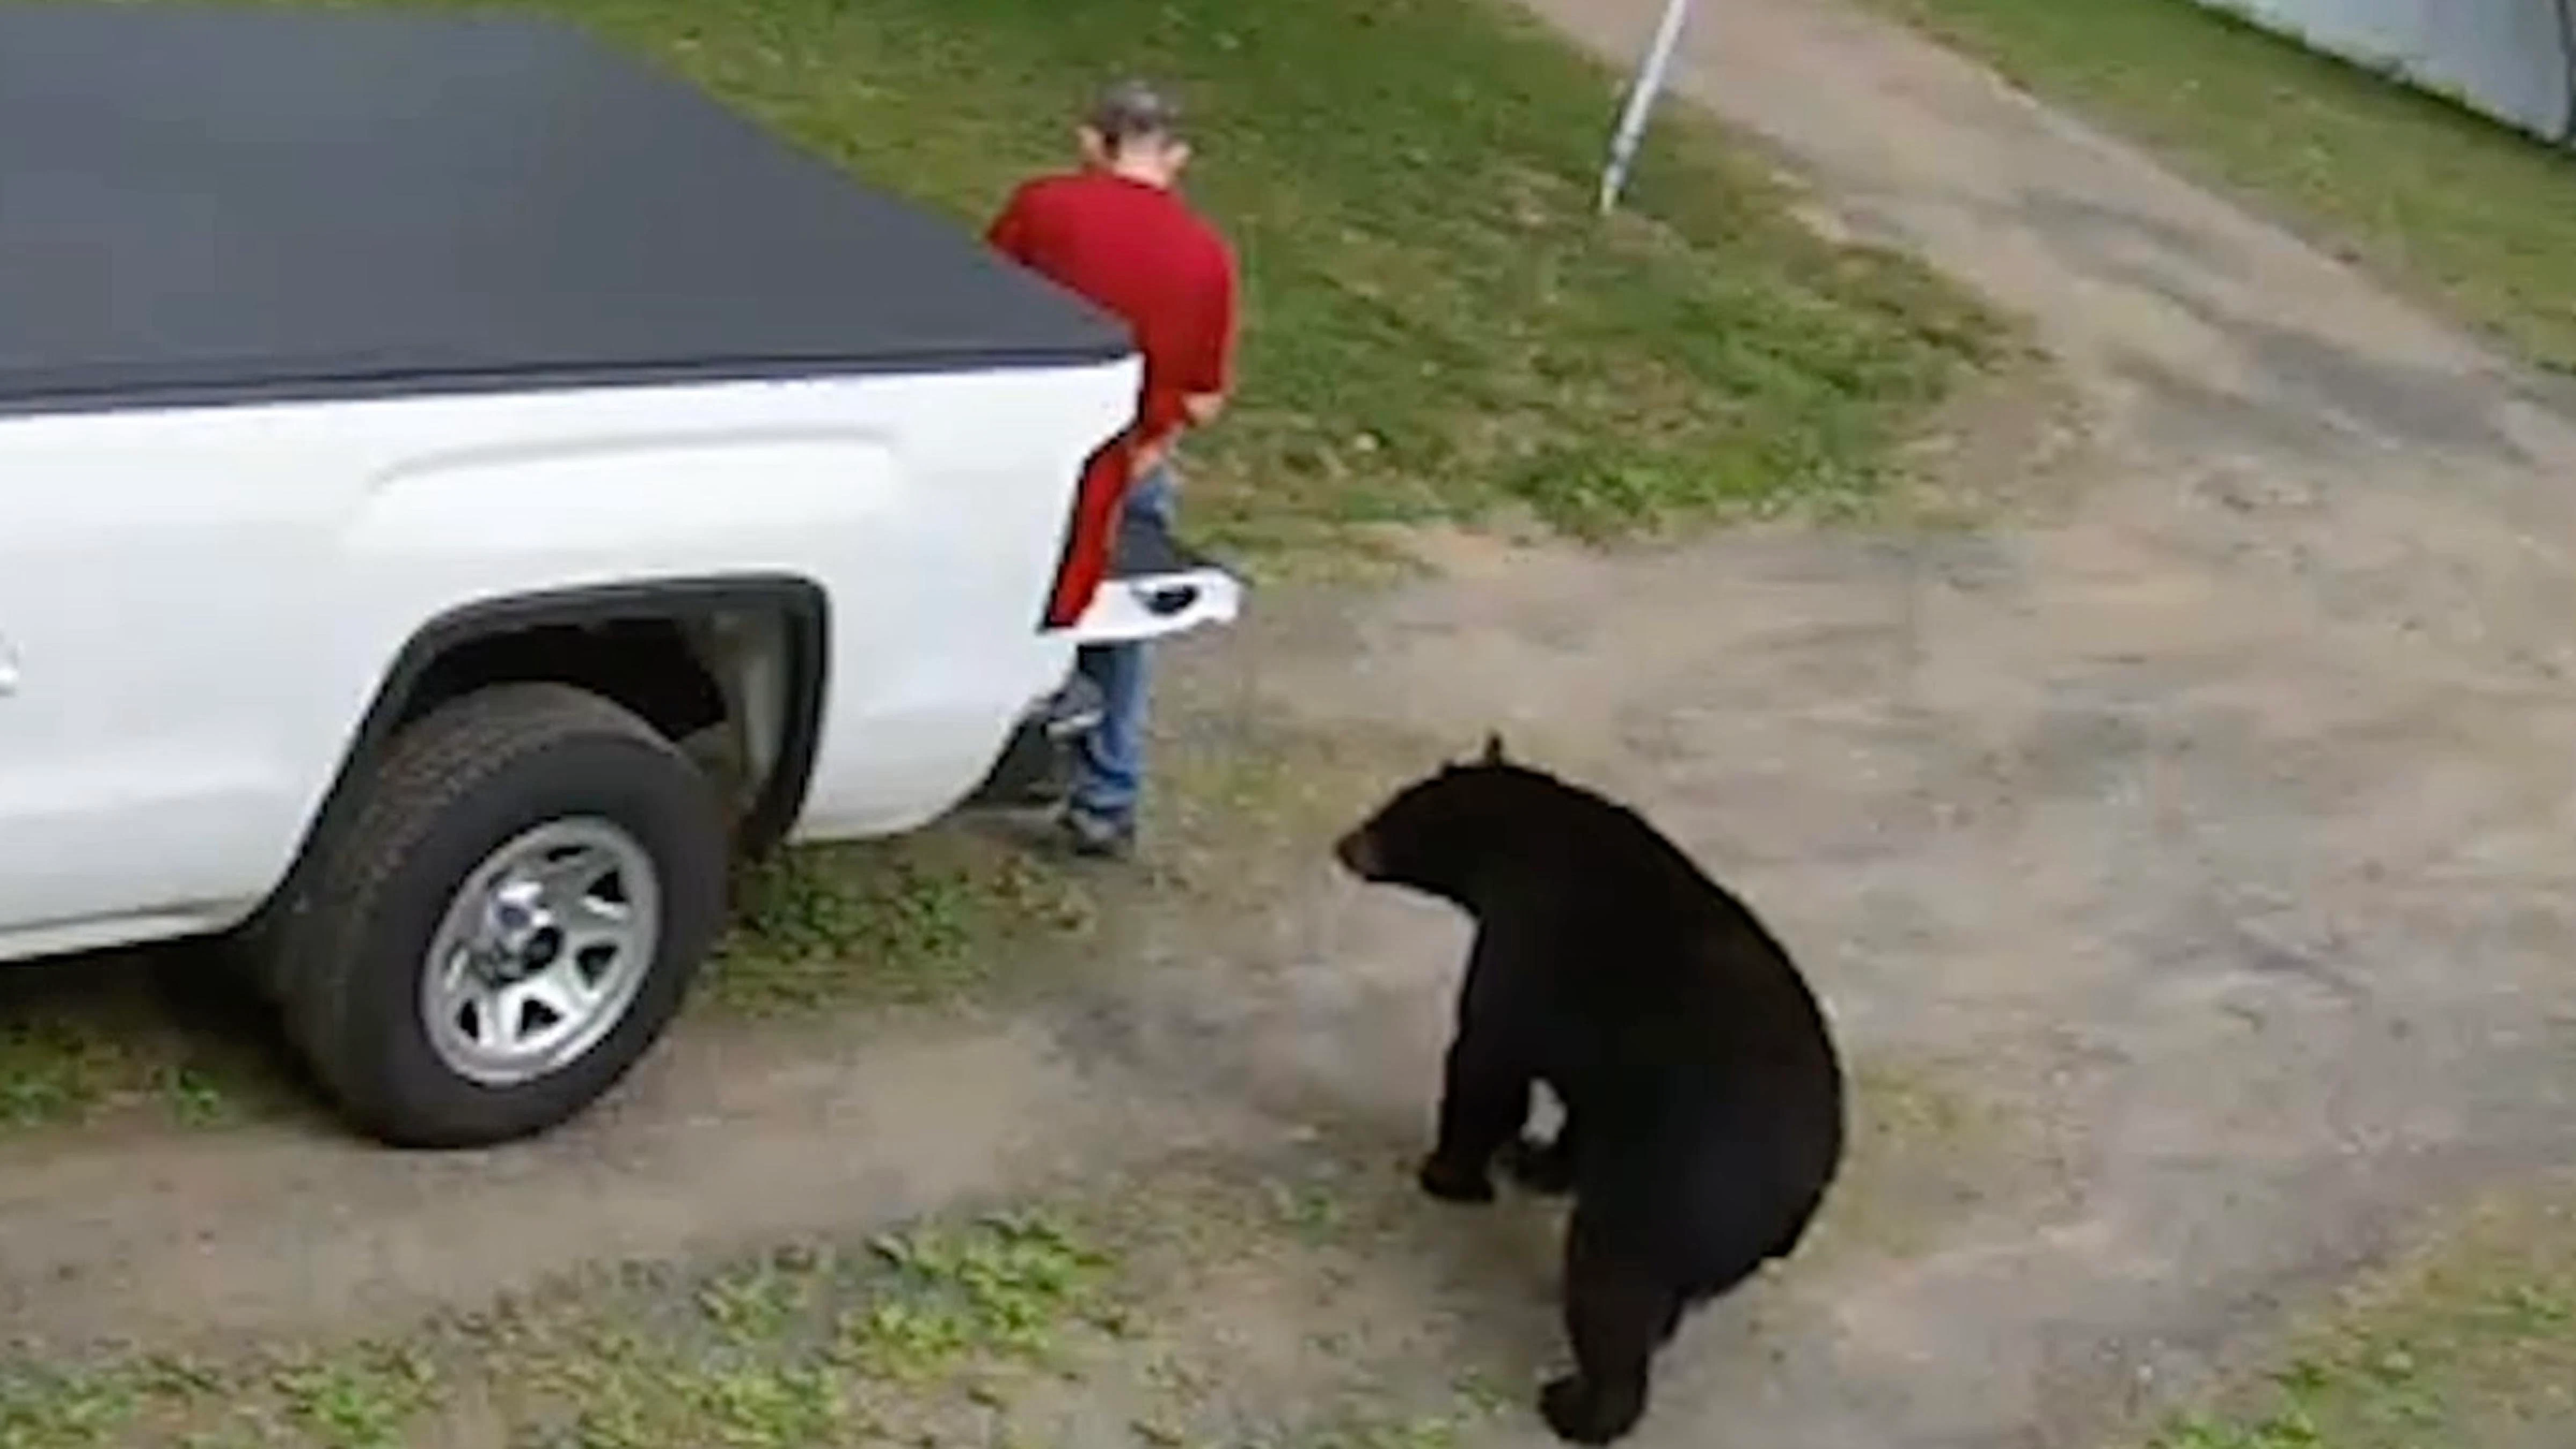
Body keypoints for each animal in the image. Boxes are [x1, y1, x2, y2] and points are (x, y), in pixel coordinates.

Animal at [1332, 734, 1846, 1445]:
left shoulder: (1523, 947)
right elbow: (1576, 1107)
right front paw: (1538, 1162)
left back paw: (1575, 1406)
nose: (1344, 842)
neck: (1527, 845)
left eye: (1395, 811)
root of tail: (1794, 1201)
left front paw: (1448, 1172)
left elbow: (1488, 1063)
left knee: (1611, 1297)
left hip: (1659, 1200)